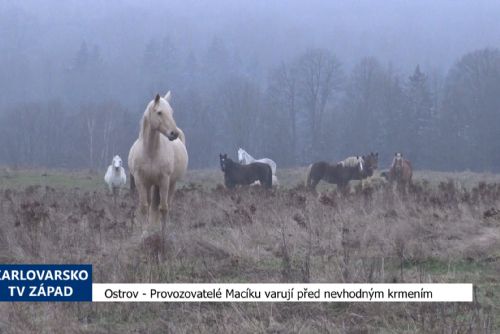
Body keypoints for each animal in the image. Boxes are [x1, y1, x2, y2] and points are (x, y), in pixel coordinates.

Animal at [128, 92, 188, 226]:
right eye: (159, 112)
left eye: (171, 112)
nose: (174, 133)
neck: (150, 152)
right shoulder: (140, 181)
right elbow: (144, 207)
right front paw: (144, 230)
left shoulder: (164, 180)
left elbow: (163, 208)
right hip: (151, 185)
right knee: (151, 204)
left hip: (171, 184)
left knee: (167, 205)